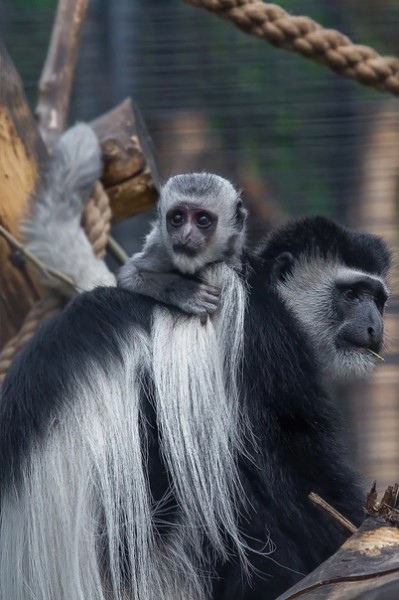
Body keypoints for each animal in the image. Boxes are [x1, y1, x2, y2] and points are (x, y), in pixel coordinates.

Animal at [115, 171, 247, 316]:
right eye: (177, 218)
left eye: (202, 219)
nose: (185, 235)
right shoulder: (160, 250)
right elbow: (128, 275)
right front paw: (188, 293)